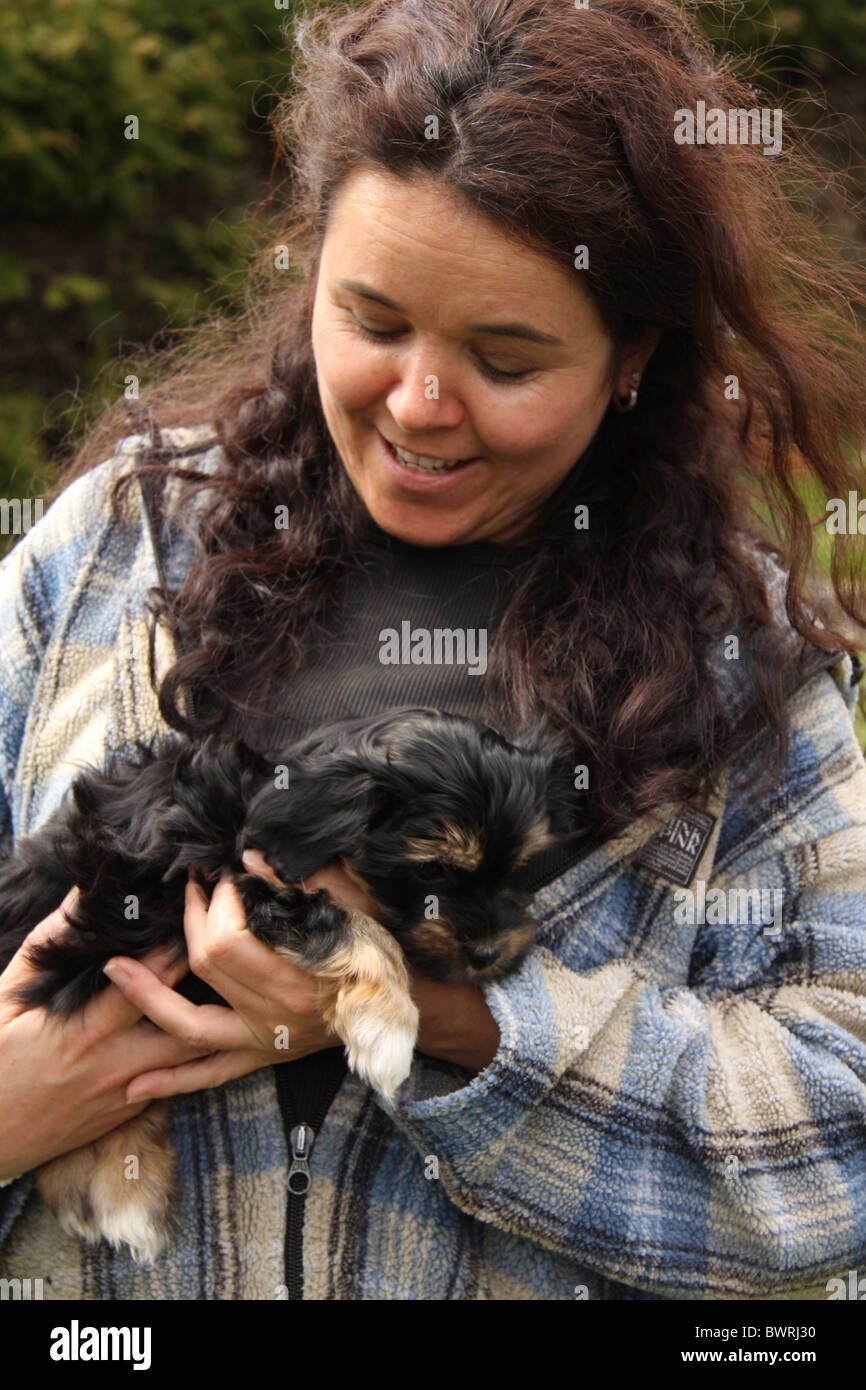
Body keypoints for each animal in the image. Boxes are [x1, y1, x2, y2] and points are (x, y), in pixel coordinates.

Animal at [0, 711, 575, 1267]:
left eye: (520, 867)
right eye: (432, 870)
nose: (489, 952)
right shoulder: (235, 880)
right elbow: (354, 923)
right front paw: (387, 1026)